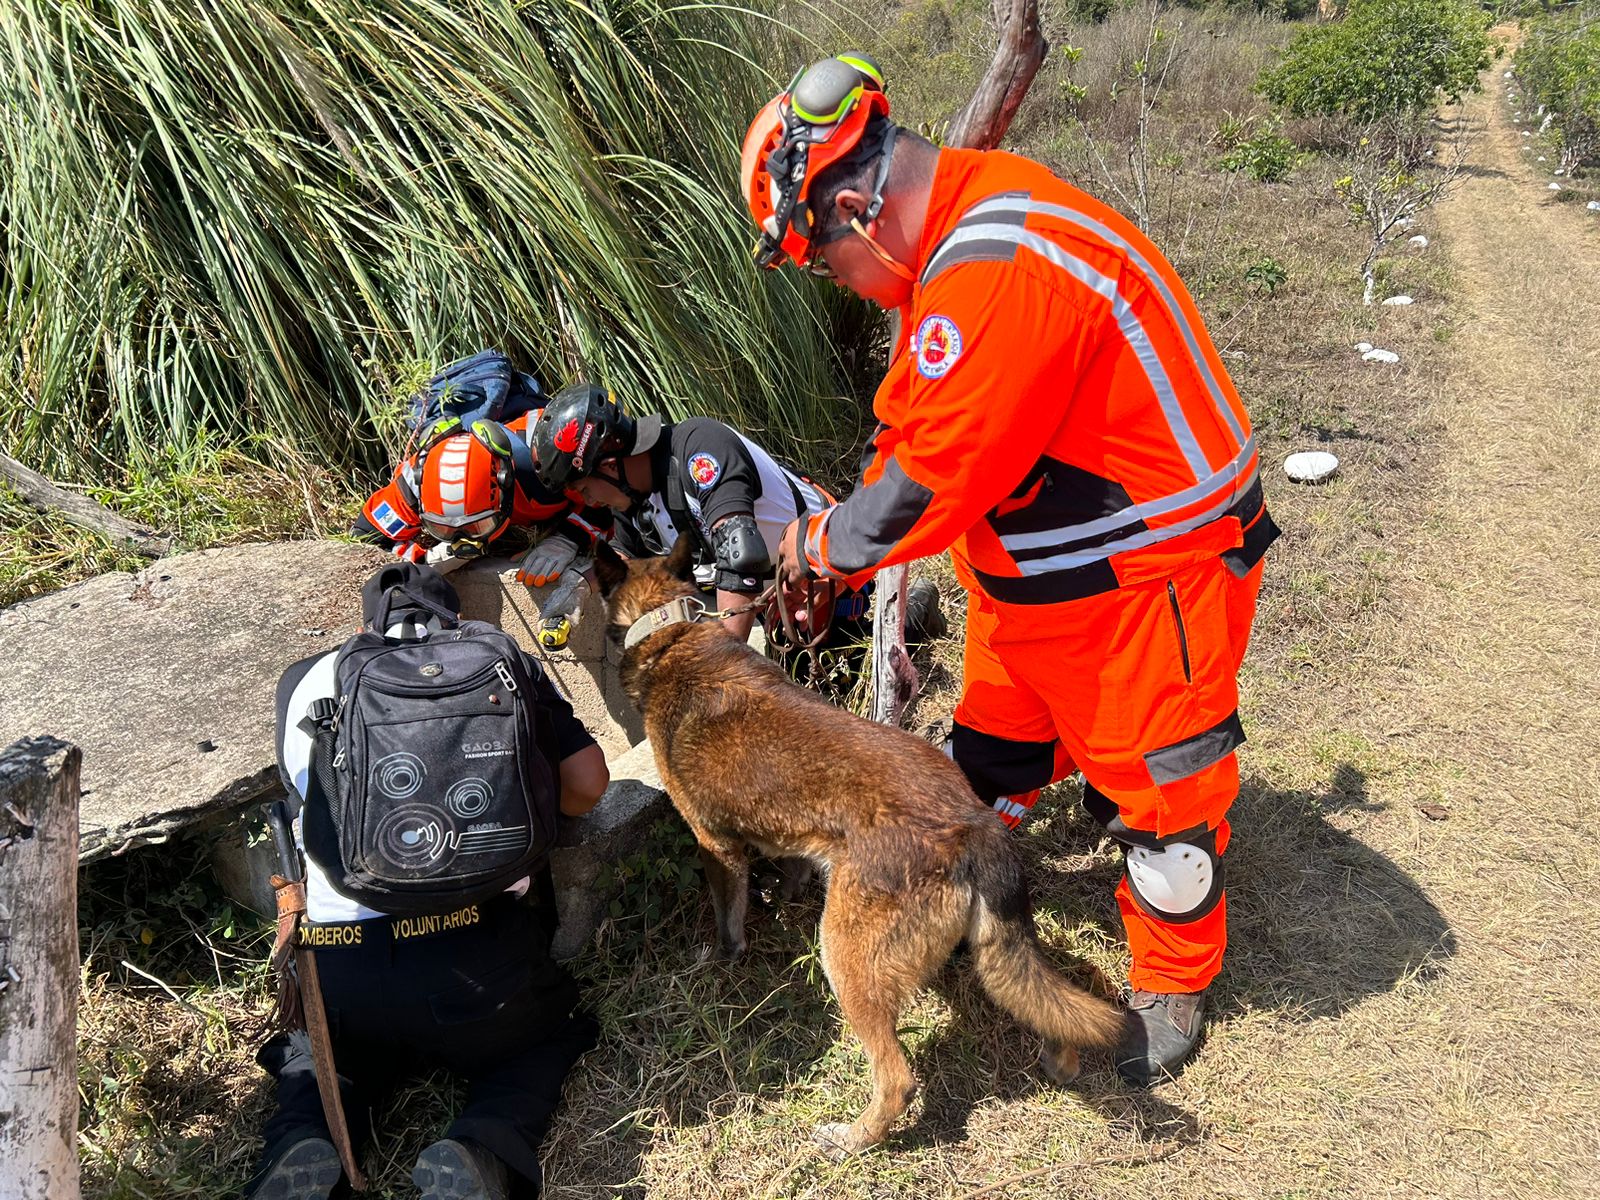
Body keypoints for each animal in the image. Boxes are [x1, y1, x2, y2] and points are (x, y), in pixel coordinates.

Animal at [592, 544, 1126, 1158]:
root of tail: (973, 823)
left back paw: (854, 1137)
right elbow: (792, 869)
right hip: (989, 952)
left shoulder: (715, 845)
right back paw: (1060, 1059)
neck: (670, 632)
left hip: (844, 958)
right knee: (1045, 1002)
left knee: (897, 1078)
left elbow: (729, 922)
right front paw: (783, 896)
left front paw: (722, 959)